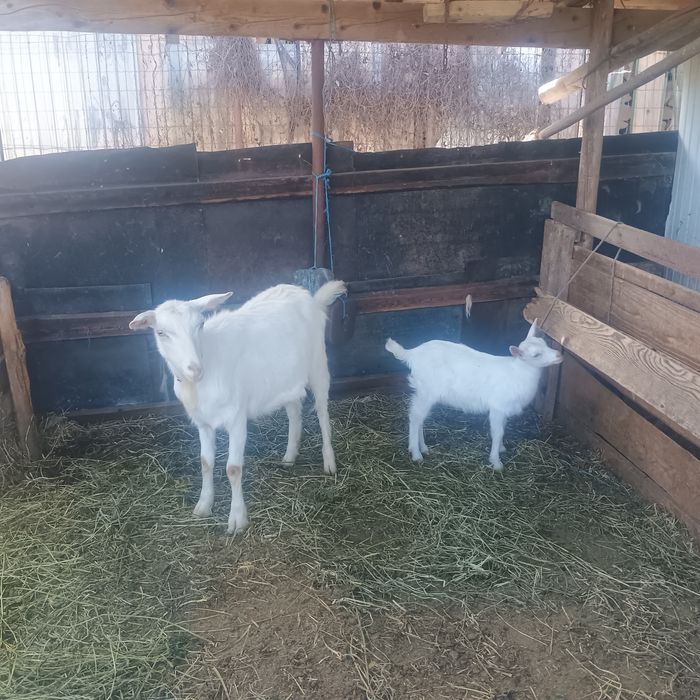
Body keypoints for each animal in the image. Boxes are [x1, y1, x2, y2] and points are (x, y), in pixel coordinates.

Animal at [129, 281, 346, 534]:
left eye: (200, 325)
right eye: (161, 333)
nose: (195, 369)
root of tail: (309, 297)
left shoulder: (236, 419)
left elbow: (233, 469)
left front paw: (237, 519)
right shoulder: (203, 423)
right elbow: (205, 463)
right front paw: (204, 505)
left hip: (318, 364)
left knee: (322, 412)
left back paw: (329, 462)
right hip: (285, 379)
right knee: (294, 411)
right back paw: (289, 456)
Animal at [385, 320, 562, 470]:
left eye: (546, 344)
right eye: (536, 355)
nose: (559, 355)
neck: (517, 373)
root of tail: (411, 354)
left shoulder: (504, 409)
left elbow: (503, 428)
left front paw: (501, 448)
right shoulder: (497, 407)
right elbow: (498, 432)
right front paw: (496, 462)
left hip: (424, 392)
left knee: (420, 418)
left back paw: (423, 448)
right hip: (426, 390)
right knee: (415, 417)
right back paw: (416, 453)